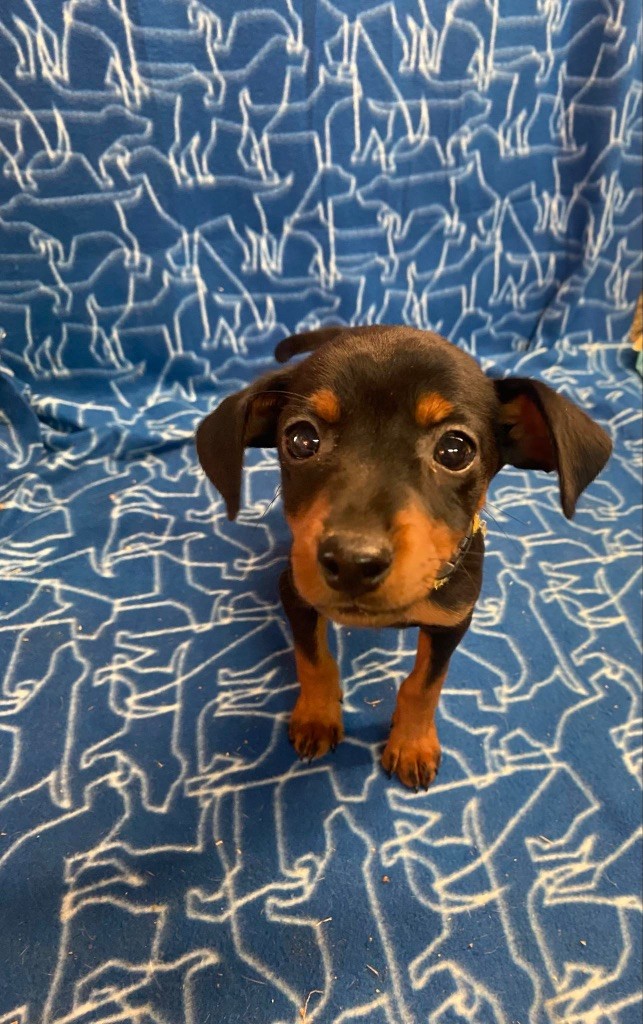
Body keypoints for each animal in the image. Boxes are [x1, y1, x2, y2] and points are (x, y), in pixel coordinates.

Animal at [196, 326, 612, 789]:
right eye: (301, 440)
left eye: (455, 450)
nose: (352, 562)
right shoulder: (296, 594)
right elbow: (314, 660)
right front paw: (317, 716)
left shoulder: (453, 619)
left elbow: (425, 685)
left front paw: (412, 743)